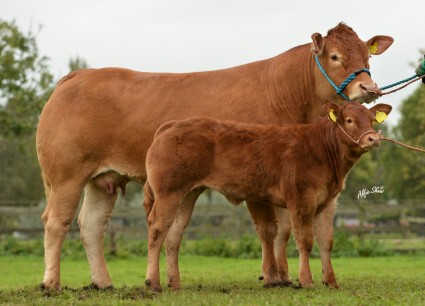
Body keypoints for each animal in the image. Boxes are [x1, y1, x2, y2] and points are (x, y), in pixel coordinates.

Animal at [144, 101, 392, 290]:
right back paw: (153, 282)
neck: (322, 151)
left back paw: (174, 283)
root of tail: (172, 124)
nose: (373, 138)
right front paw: (306, 280)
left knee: (174, 235)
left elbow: (326, 242)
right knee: (157, 229)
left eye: (372, 119)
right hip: (168, 192)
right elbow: (305, 240)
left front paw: (330, 281)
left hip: (187, 194)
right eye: (349, 120)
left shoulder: (327, 202)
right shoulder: (301, 199)